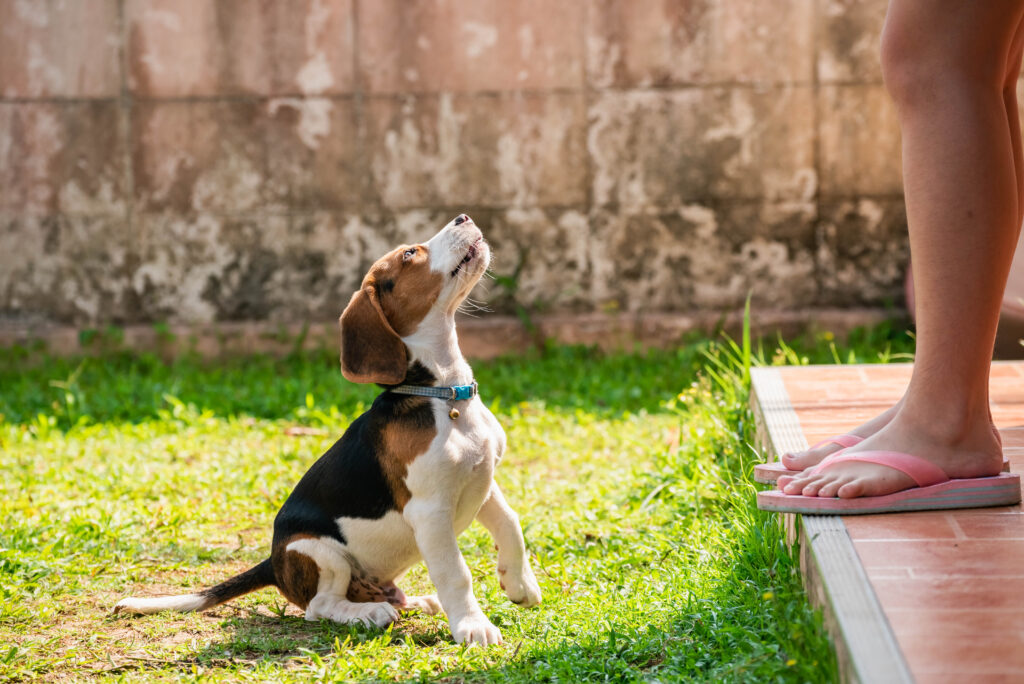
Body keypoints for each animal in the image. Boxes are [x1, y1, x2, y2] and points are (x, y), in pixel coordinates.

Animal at [114, 215, 544, 647]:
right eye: (409, 253)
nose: (463, 218)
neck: (443, 394)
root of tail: (273, 563)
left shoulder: (482, 480)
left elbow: (511, 524)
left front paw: (520, 584)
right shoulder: (431, 510)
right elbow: (456, 572)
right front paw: (473, 627)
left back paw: (415, 601)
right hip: (320, 552)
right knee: (320, 607)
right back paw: (370, 613)